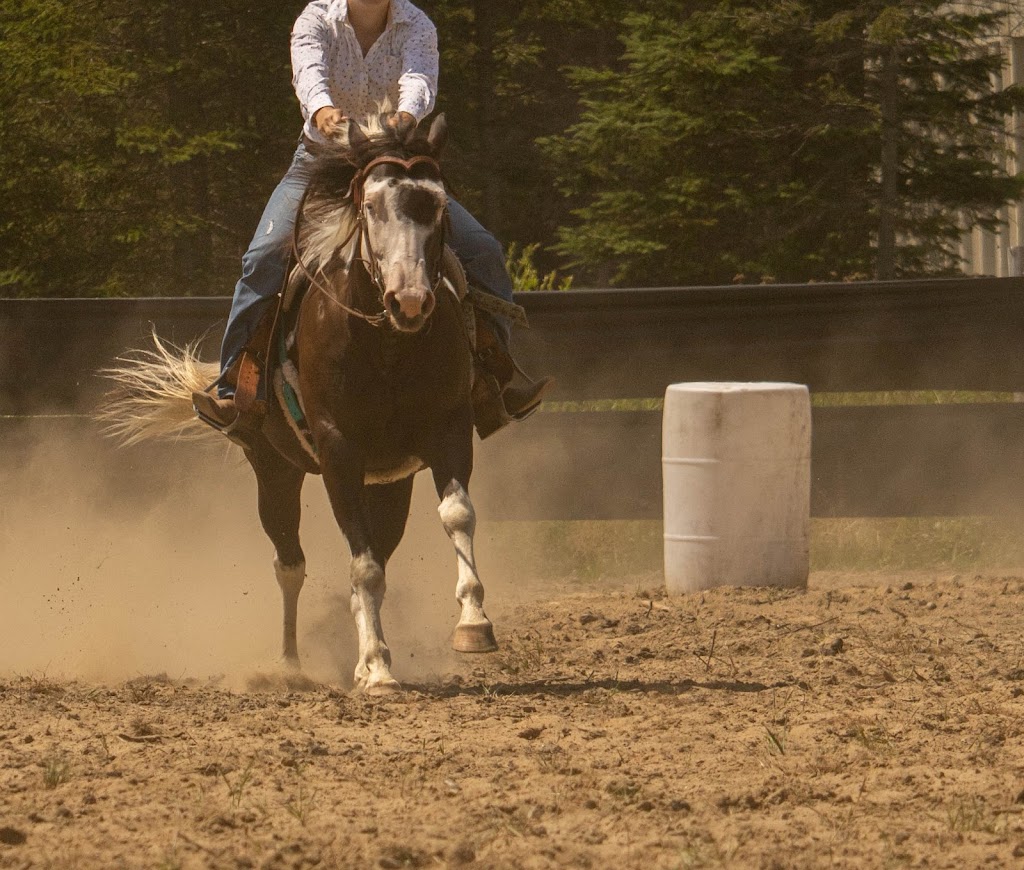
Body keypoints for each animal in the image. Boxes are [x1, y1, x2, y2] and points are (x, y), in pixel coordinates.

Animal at [99, 112, 495, 691]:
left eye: (438, 205)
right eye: (370, 206)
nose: (410, 301)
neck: (386, 344)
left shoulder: (448, 431)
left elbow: (455, 516)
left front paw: (472, 624)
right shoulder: (337, 451)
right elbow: (361, 565)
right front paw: (379, 667)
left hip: (389, 481)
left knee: (374, 553)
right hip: (274, 470)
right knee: (291, 564)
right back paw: (289, 663)